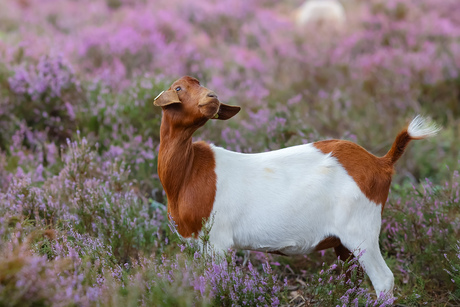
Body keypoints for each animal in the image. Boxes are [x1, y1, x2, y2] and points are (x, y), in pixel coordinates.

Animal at [153, 75, 440, 298]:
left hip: (361, 229)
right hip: (345, 242)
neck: (188, 174)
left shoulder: (218, 242)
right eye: (178, 88)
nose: (212, 97)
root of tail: (381, 162)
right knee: (353, 277)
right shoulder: (199, 244)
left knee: (383, 279)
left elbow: (218, 282)